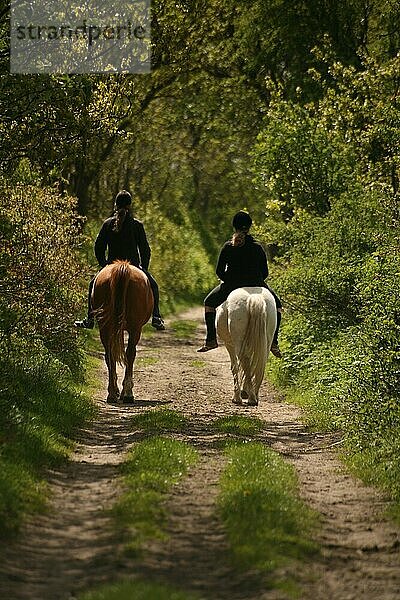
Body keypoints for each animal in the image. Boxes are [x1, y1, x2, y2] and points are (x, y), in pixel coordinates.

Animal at [92, 258, 153, 404]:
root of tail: (122, 266)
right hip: (135, 328)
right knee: (130, 354)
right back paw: (127, 394)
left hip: (105, 326)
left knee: (110, 354)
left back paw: (112, 394)